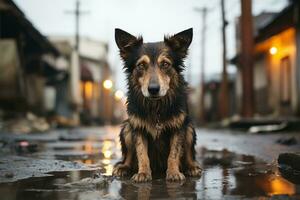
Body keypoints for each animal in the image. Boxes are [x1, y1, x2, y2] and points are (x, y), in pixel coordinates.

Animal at [112, 28, 202, 183]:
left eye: (165, 64)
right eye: (141, 65)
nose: (153, 89)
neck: (156, 107)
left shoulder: (178, 127)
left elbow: (174, 153)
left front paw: (173, 172)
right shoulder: (138, 127)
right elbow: (141, 153)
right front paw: (143, 173)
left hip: (189, 128)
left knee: (189, 154)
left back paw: (191, 167)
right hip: (127, 128)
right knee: (128, 155)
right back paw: (124, 167)